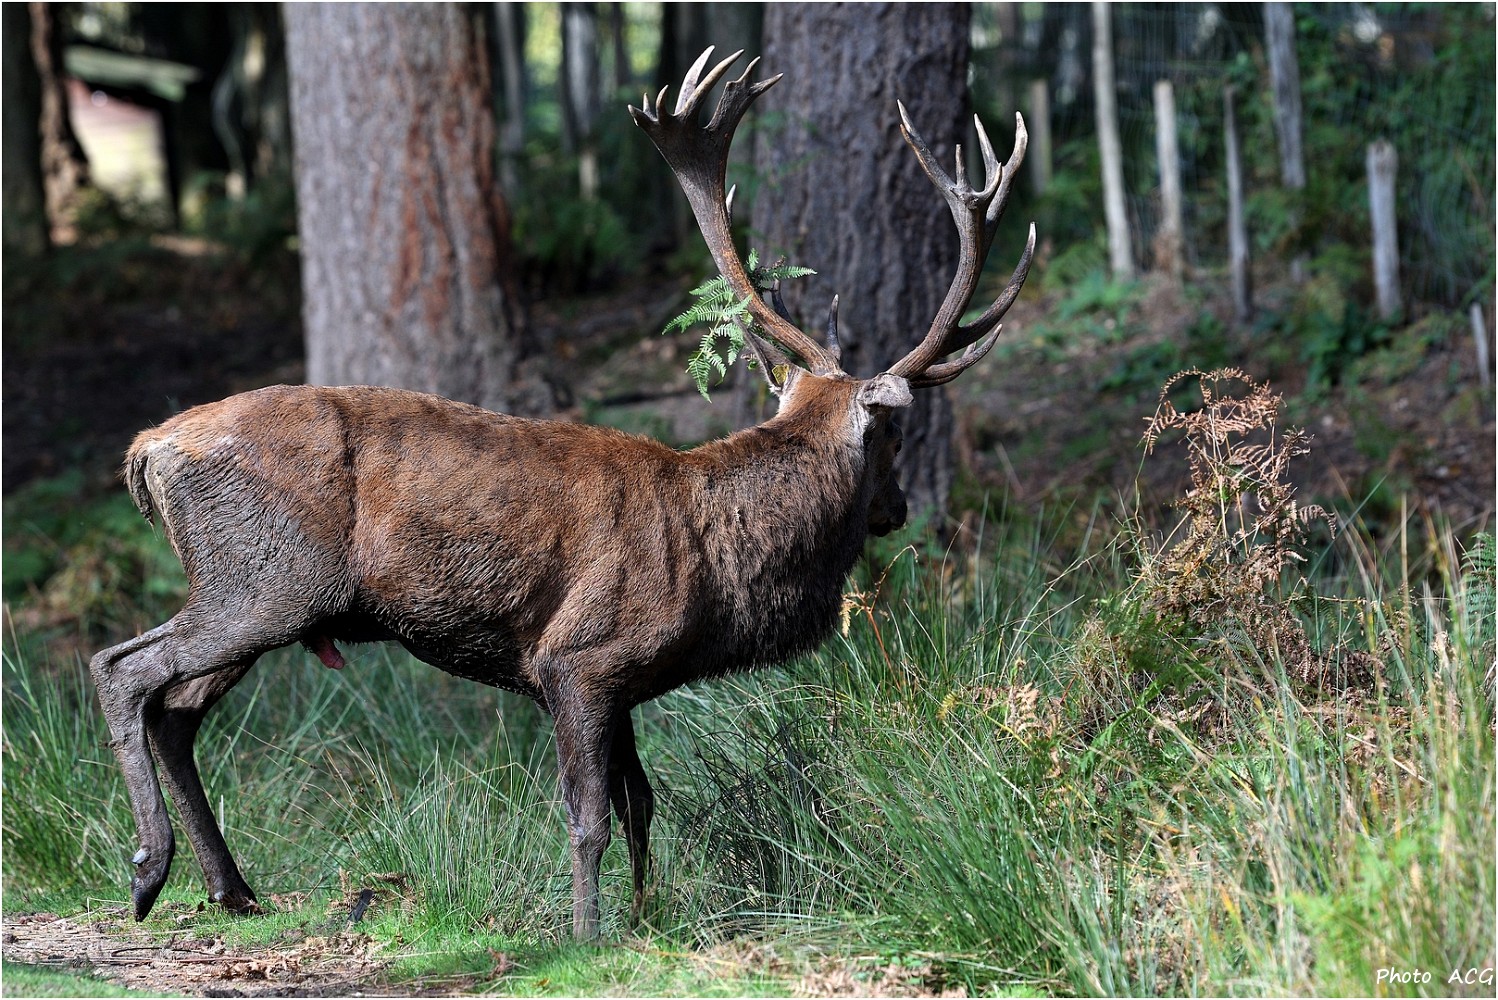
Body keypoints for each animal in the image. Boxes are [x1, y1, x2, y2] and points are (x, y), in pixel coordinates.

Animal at [89, 48, 1033, 939]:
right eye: (896, 436)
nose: (898, 507)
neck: (722, 562)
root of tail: (145, 451)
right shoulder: (579, 656)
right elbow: (588, 817)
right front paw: (586, 932)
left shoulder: (628, 681)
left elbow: (641, 803)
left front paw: (648, 915)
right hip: (267, 581)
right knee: (122, 667)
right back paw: (147, 871)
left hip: (257, 593)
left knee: (177, 711)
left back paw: (232, 889)